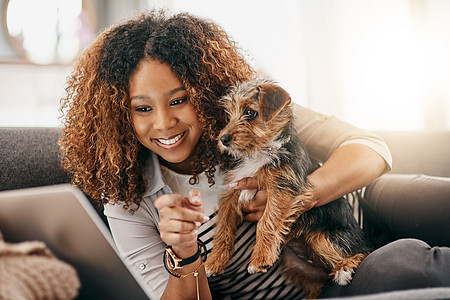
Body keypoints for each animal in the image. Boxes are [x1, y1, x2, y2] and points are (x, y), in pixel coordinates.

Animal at [205, 77, 372, 298]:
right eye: (229, 114)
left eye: (250, 112)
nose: (222, 139)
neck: (260, 152)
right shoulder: (233, 190)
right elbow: (223, 227)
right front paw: (214, 262)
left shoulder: (283, 188)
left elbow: (267, 221)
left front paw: (260, 258)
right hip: (294, 263)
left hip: (324, 238)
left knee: (364, 252)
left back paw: (344, 269)